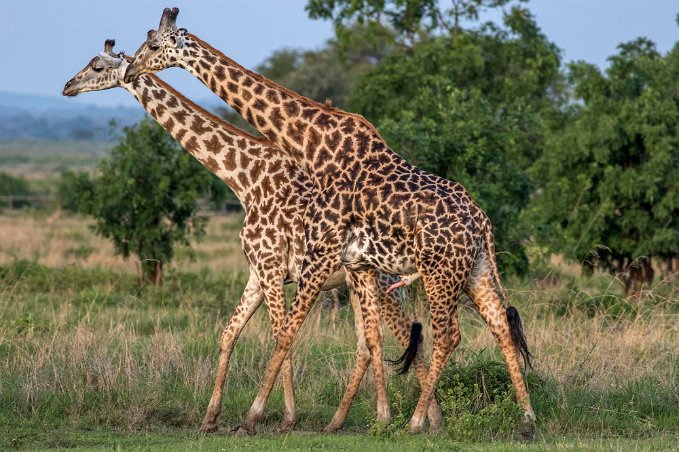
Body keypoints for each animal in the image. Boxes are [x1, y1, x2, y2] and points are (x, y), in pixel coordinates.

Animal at [63, 39, 444, 434]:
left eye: (96, 66)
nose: (67, 86)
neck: (244, 179)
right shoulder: (256, 273)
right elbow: (229, 335)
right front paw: (210, 418)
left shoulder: (271, 266)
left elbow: (279, 336)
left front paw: (283, 417)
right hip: (358, 283)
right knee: (372, 343)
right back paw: (357, 420)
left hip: (382, 284)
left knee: (403, 335)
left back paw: (424, 419)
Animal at [126, 7, 536, 436]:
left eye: (152, 45)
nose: (131, 70)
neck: (314, 147)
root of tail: (482, 222)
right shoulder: (353, 263)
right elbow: (360, 339)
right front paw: (372, 418)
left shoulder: (315, 254)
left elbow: (285, 334)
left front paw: (254, 418)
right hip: (474, 270)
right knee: (498, 326)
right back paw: (525, 419)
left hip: (439, 273)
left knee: (445, 335)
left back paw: (417, 421)